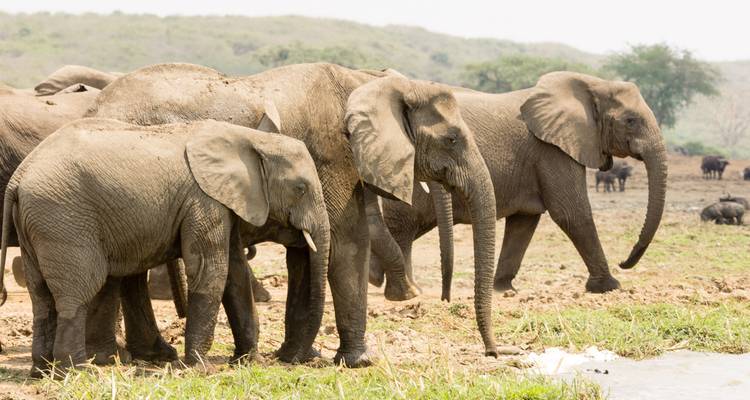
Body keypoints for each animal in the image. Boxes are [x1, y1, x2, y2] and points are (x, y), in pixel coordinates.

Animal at [0, 118, 330, 377]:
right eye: (301, 188)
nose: (294, 359)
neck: (249, 138)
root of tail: (18, 179)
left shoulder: (223, 203)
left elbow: (235, 273)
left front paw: (249, 362)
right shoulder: (203, 201)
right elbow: (211, 271)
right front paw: (199, 368)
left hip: (37, 224)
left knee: (41, 295)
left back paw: (42, 372)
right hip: (62, 218)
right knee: (77, 292)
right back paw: (77, 371)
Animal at [83, 62, 499, 365]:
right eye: (452, 139)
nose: (492, 352)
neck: (367, 79)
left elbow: (307, 251)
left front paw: (298, 356)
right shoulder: (332, 152)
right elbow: (347, 242)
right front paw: (357, 361)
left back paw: (148, 354)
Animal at [368, 71, 668, 302]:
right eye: (631, 121)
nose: (624, 262)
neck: (592, 83)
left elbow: (524, 222)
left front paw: (503, 289)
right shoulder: (552, 151)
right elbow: (572, 213)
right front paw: (609, 287)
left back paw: (375, 279)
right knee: (406, 225)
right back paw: (408, 291)